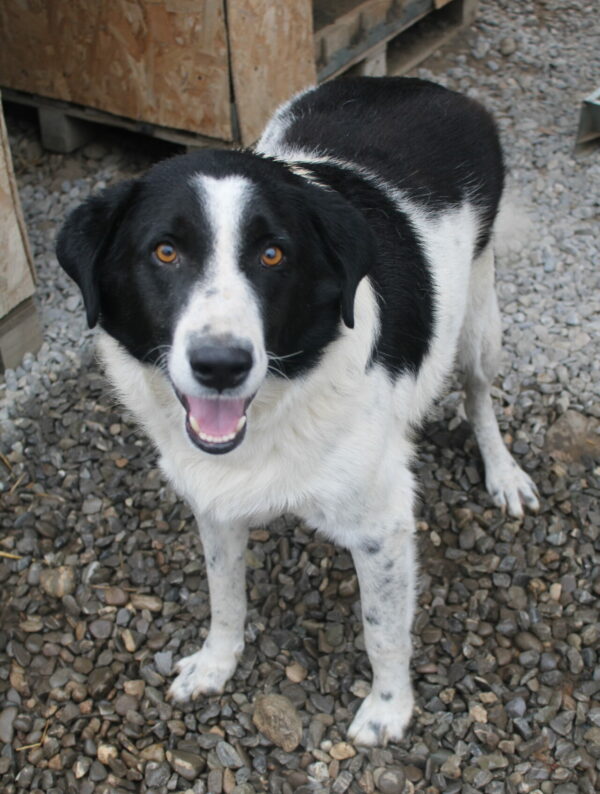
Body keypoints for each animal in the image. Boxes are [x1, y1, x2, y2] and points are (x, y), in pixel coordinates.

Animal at [55, 76, 540, 744]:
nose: (221, 365)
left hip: (479, 321)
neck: (281, 400)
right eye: (165, 251)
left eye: (273, 255)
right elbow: (224, 594)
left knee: (478, 393)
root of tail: (422, 84)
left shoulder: (383, 524)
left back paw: (503, 474)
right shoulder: (212, 500)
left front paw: (389, 710)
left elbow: (383, 630)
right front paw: (217, 663)